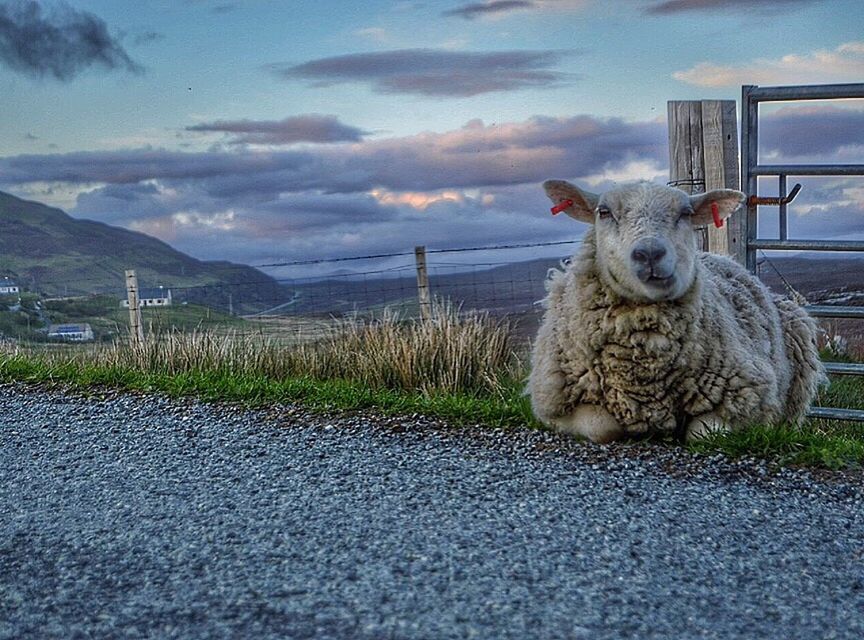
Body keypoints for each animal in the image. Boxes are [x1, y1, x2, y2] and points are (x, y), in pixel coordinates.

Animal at [528, 178, 828, 442]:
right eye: (604, 212)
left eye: (685, 213)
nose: (650, 253)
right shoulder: (553, 403)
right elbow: (603, 428)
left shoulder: (747, 396)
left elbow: (702, 434)